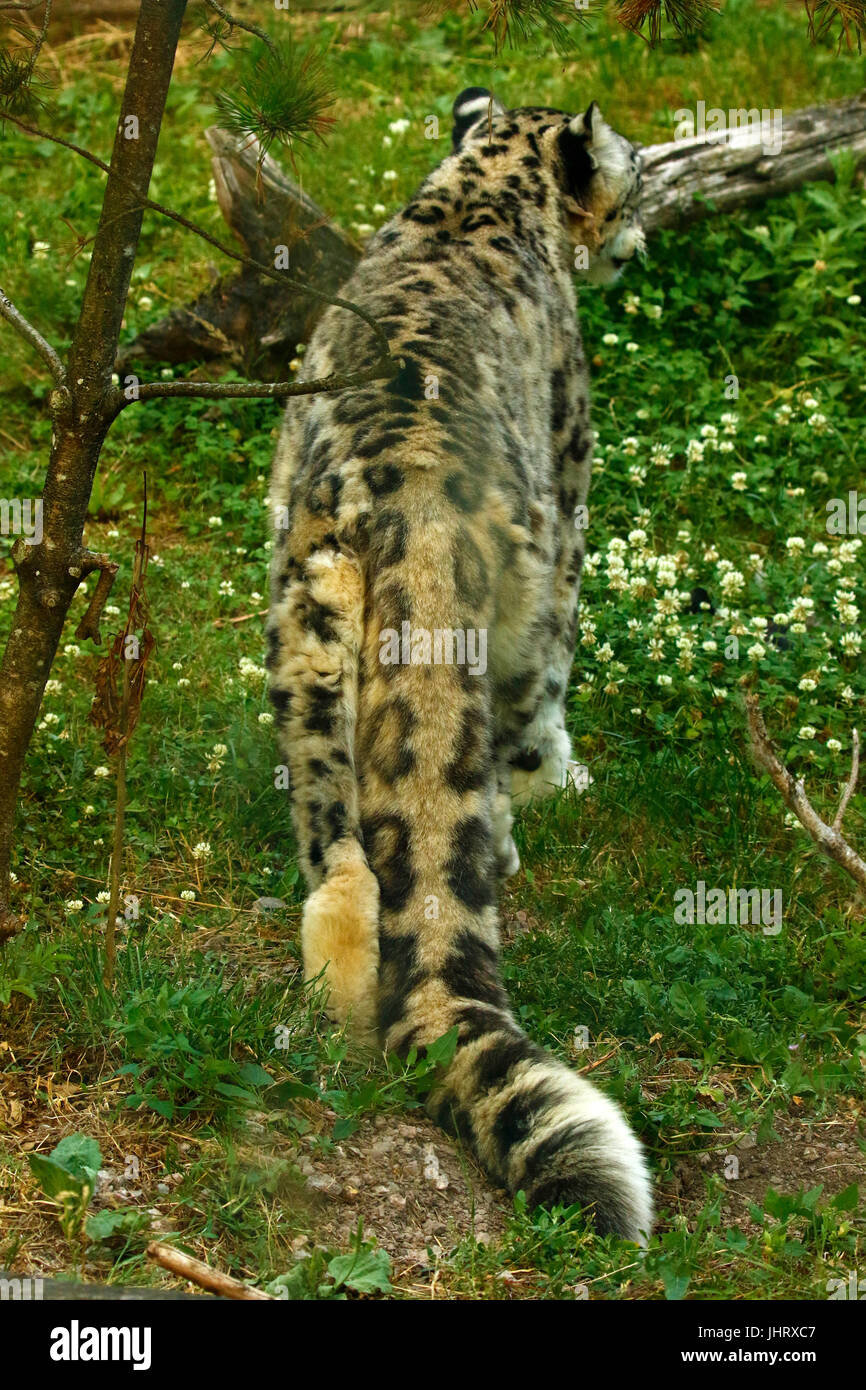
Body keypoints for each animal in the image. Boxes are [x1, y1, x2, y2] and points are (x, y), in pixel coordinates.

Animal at [265, 87, 652, 1241]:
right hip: (517, 589)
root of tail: (407, 509)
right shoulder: (573, 472)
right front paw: (563, 774)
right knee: (509, 726)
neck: (477, 192)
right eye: (635, 172)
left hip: (308, 646)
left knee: (345, 857)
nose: (643, 230)